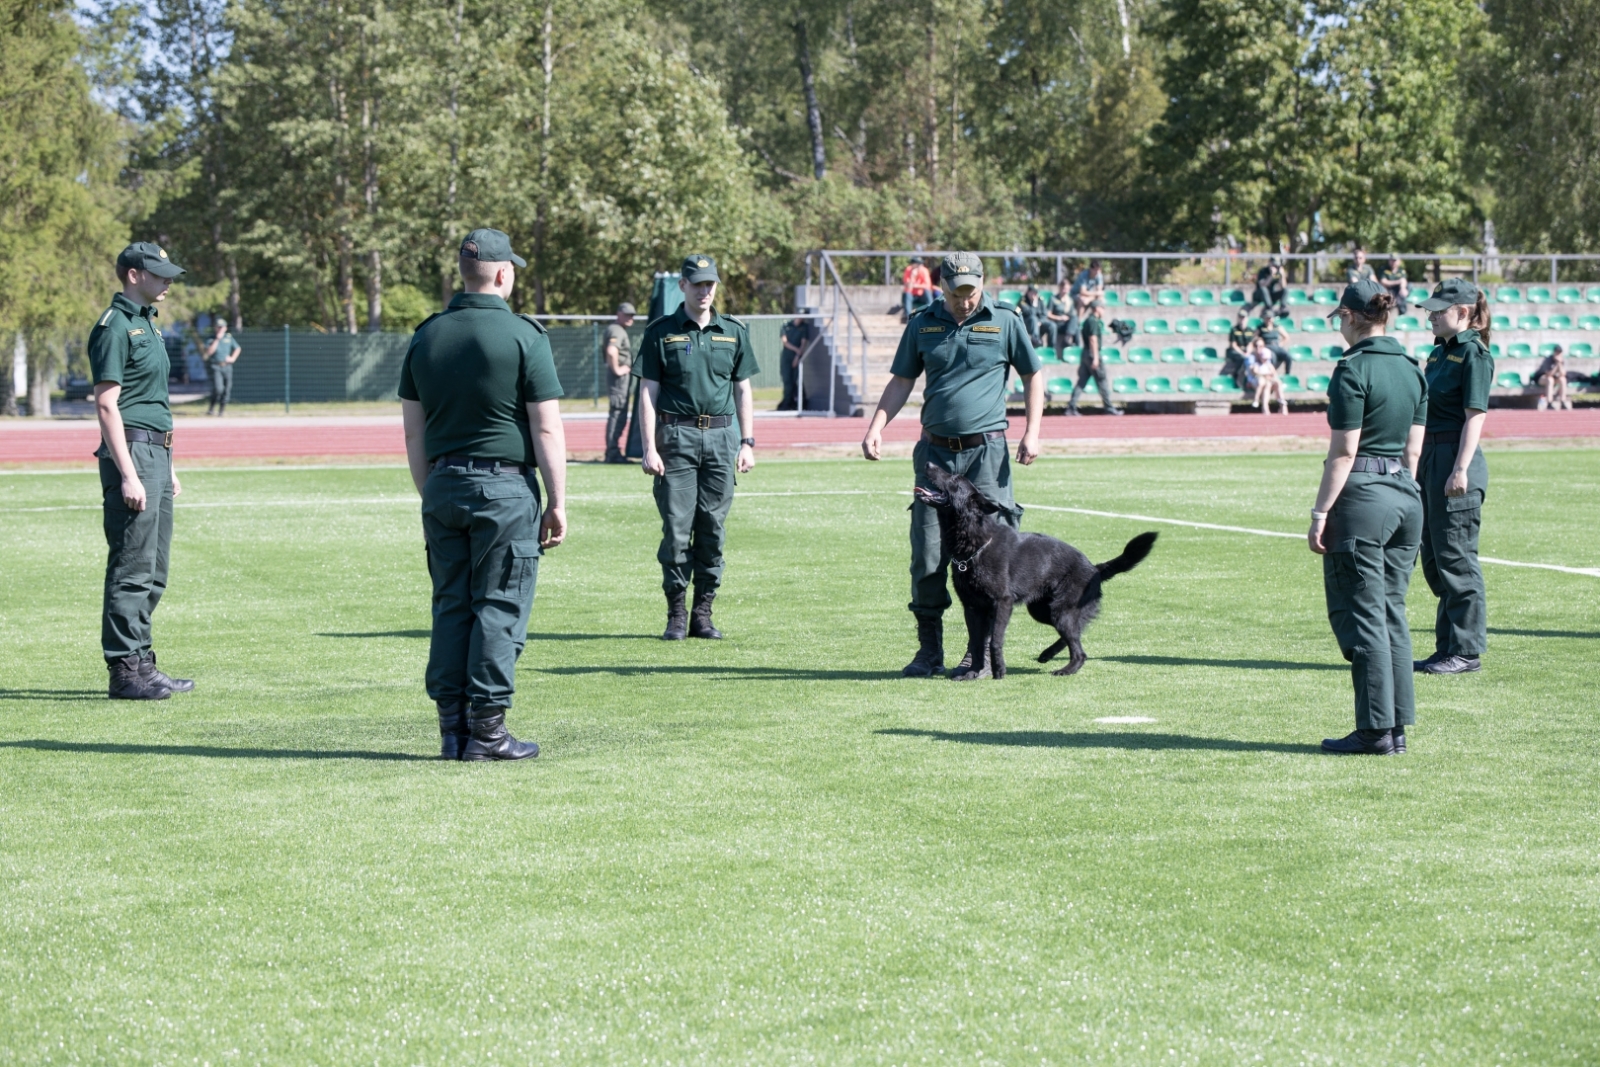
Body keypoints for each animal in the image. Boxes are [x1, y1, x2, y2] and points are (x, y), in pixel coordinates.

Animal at [915, 463, 1152, 681]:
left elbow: (995, 640)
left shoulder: (1002, 603)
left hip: (1060, 612)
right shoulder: (972, 608)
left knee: (1079, 650)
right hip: (1042, 611)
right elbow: (976, 643)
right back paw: (1048, 654)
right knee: (1075, 633)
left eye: (954, 478)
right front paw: (973, 672)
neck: (974, 545)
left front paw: (999, 671)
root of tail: (1095, 568)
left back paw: (1066, 669)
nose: (928, 464)